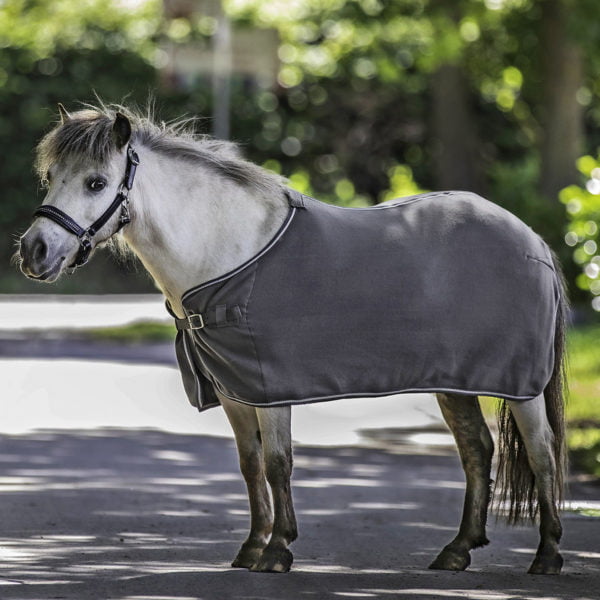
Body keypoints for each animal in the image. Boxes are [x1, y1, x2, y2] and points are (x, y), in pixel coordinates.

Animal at [16, 105, 564, 576]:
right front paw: (251, 547)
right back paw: (457, 551)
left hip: (521, 386)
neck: (228, 251)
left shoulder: (268, 386)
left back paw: (547, 556)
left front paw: (278, 550)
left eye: (96, 182)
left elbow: (279, 463)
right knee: (477, 451)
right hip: (457, 383)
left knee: (542, 453)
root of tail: (532, 239)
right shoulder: (235, 392)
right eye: (51, 177)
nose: (33, 251)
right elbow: (250, 464)